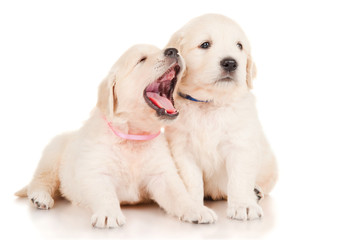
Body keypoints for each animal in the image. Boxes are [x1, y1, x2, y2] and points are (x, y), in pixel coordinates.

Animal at [14, 44, 217, 227]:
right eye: (141, 60)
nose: (173, 50)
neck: (132, 136)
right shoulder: (95, 171)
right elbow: (104, 193)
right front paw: (108, 214)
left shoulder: (163, 174)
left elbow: (179, 194)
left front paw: (197, 209)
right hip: (52, 155)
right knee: (41, 180)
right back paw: (40, 197)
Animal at [165, 14, 278, 221]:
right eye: (205, 44)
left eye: (239, 46)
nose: (231, 63)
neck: (210, 103)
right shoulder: (182, 150)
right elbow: (191, 181)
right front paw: (194, 207)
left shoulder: (241, 144)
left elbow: (239, 178)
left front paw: (244, 205)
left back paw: (256, 192)